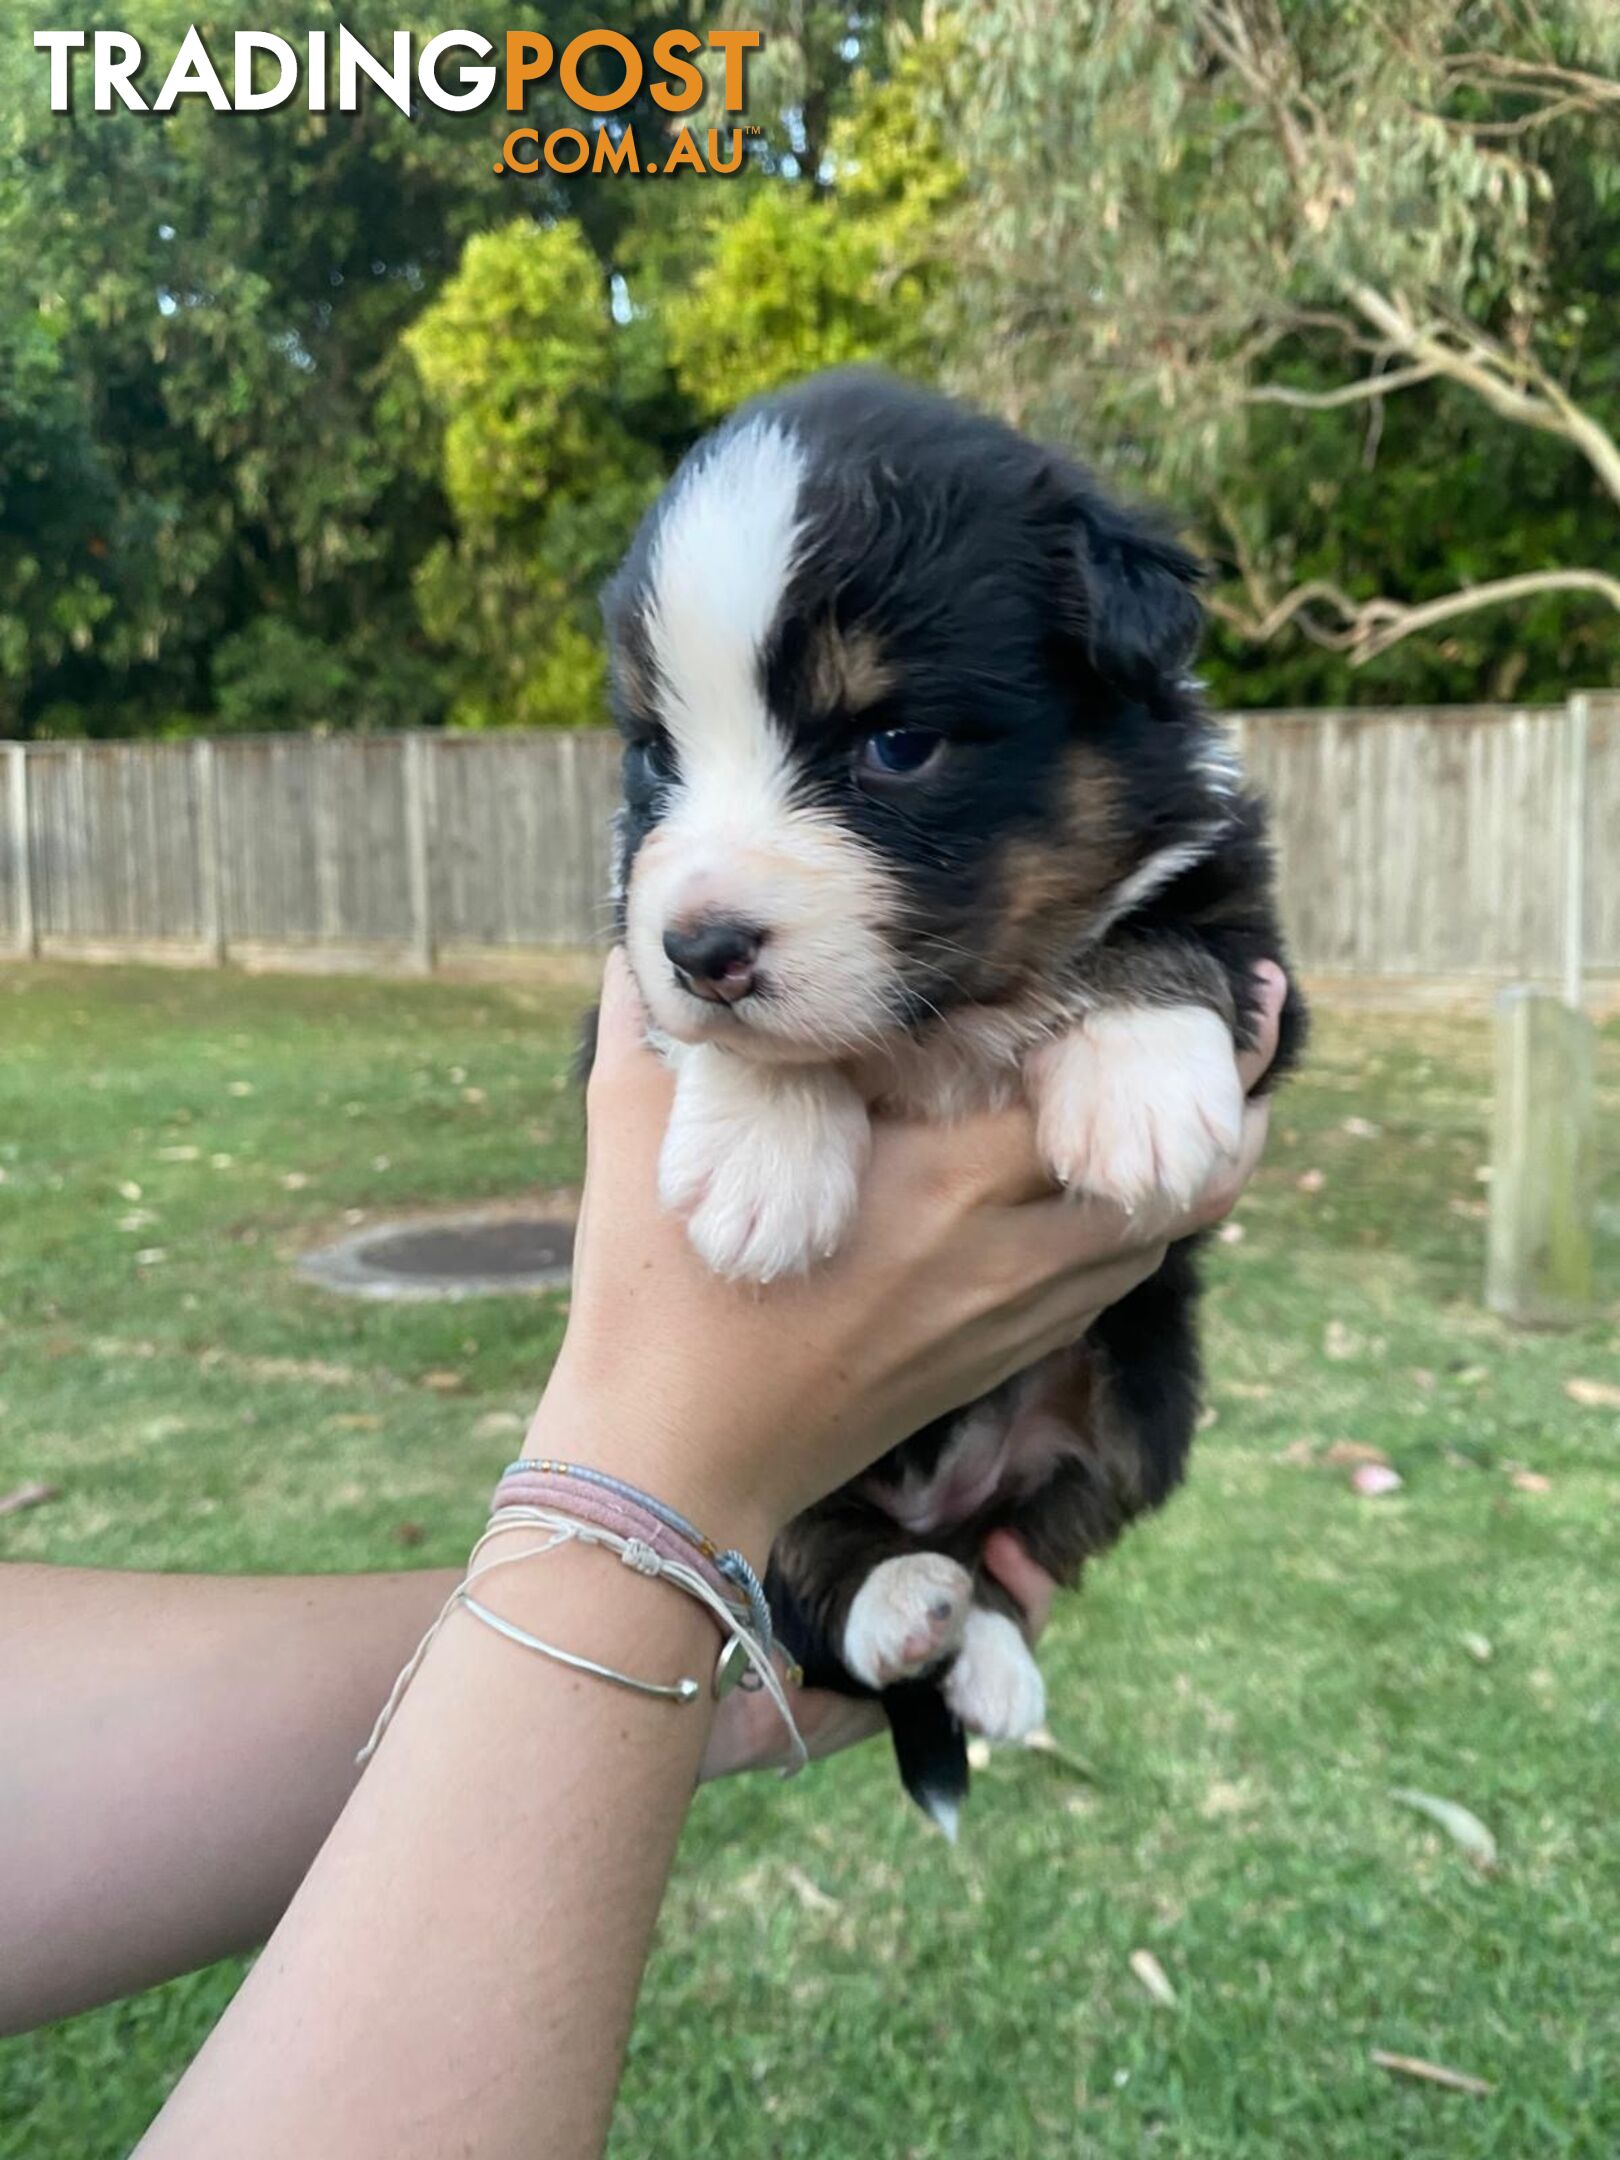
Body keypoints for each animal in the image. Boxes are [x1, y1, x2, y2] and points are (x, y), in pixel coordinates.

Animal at [596, 375, 1304, 1840]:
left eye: (896, 744)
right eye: (653, 757)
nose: (706, 946)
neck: (947, 1013)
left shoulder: (1258, 949)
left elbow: (1171, 929)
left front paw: (1140, 1088)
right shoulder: (626, 949)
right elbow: (706, 1030)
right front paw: (761, 1161)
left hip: (1144, 1411)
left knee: (1010, 1552)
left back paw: (983, 1658)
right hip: (781, 1484)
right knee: (802, 1586)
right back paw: (900, 1610)